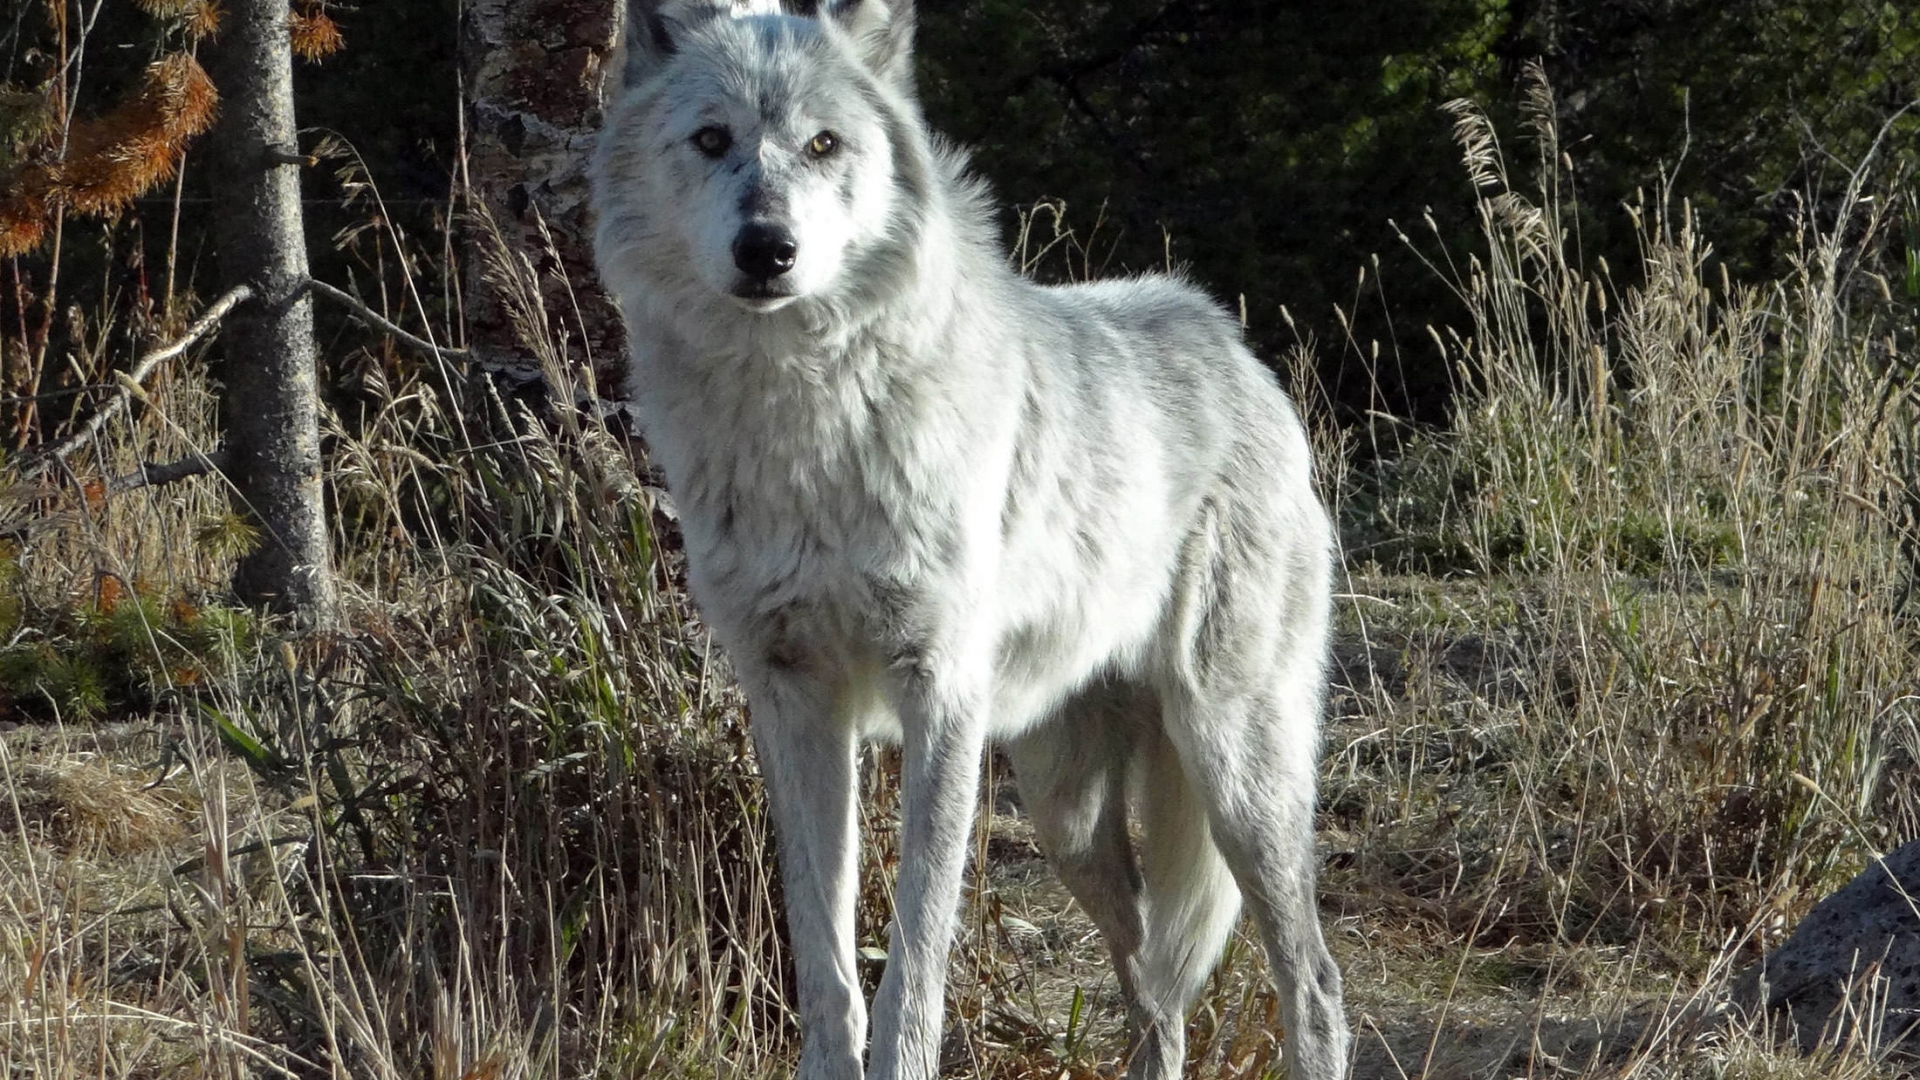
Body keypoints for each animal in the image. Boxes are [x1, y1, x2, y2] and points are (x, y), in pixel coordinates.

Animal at [590, 2, 1350, 1077]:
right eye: (710, 140)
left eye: (824, 145)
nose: (767, 246)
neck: (805, 427)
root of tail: (1236, 347)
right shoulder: (792, 699)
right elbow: (826, 962)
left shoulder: (940, 693)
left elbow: (914, 962)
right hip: (1065, 812)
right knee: (1155, 988)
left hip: (1234, 767)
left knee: (1313, 983)